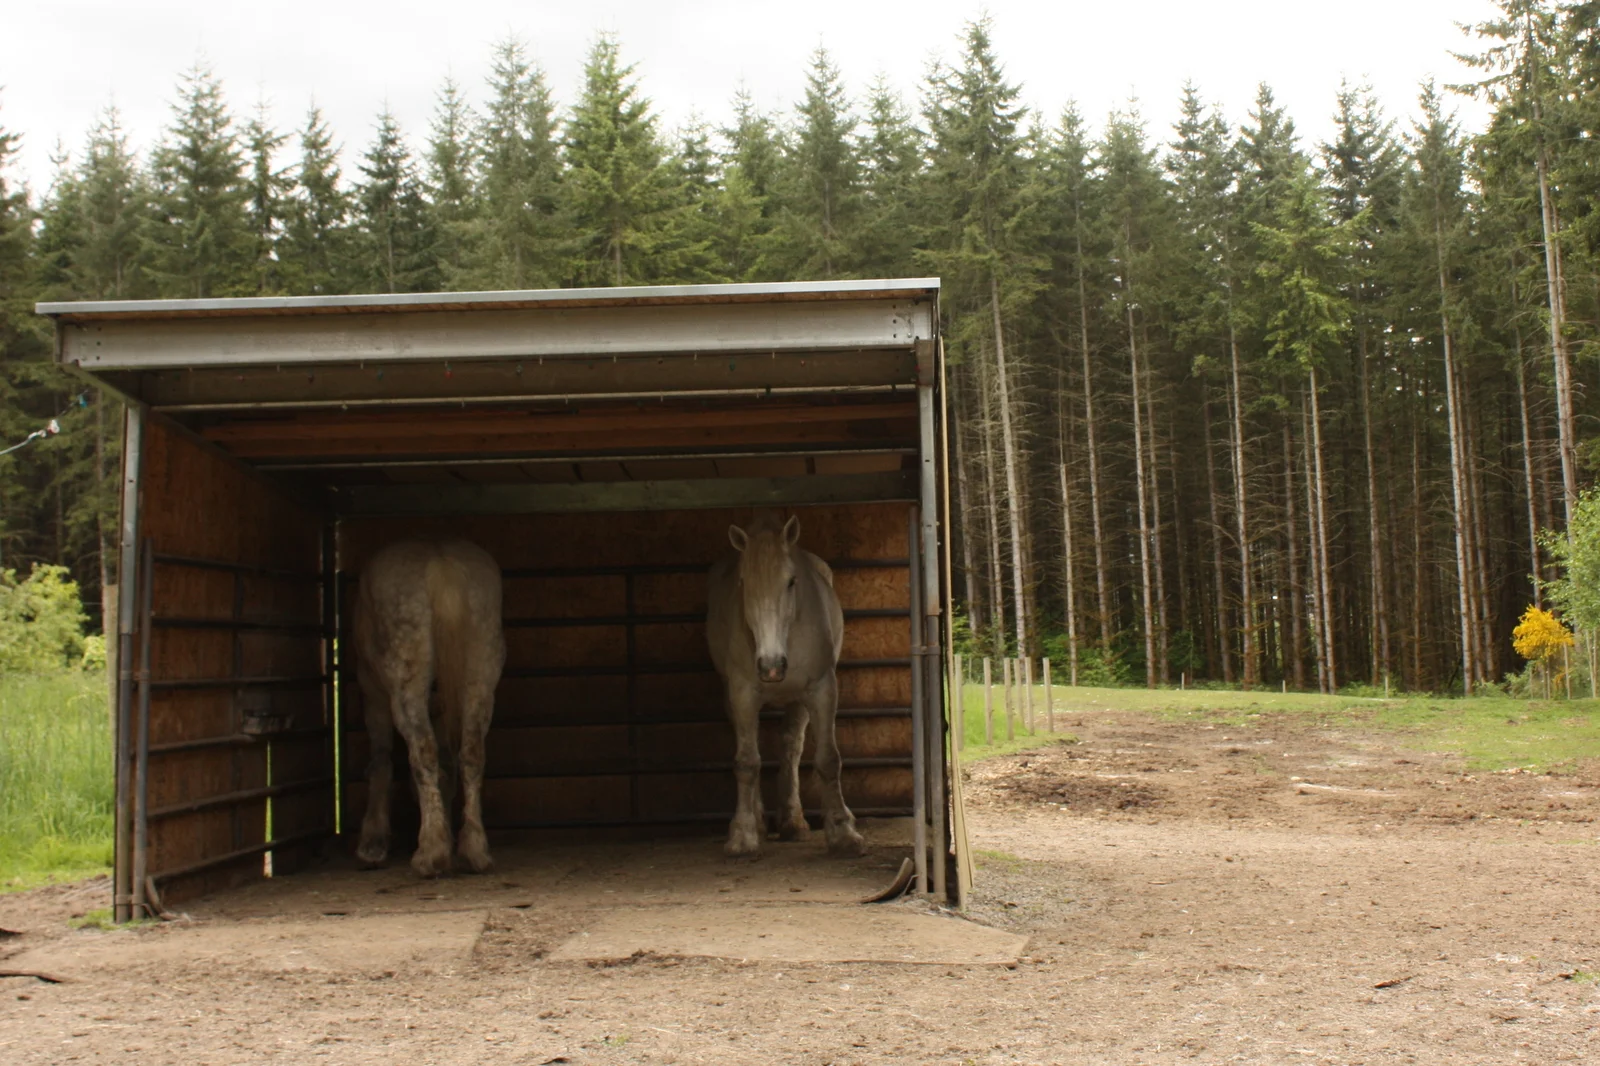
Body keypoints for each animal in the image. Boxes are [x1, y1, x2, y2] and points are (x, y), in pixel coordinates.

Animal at [352, 538, 506, 877]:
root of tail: (441, 563)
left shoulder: (374, 695)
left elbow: (381, 760)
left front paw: (373, 843)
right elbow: (449, 767)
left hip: (406, 682)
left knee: (422, 751)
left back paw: (431, 854)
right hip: (480, 678)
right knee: (472, 754)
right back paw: (474, 851)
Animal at [706, 512, 865, 857]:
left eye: (791, 582)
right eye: (743, 583)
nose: (771, 666)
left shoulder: (821, 690)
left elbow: (828, 759)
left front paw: (843, 833)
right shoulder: (742, 694)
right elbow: (747, 762)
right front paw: (743, 835)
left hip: (798, 701)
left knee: (791, 747)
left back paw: (793, 822)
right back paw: (759, 822)